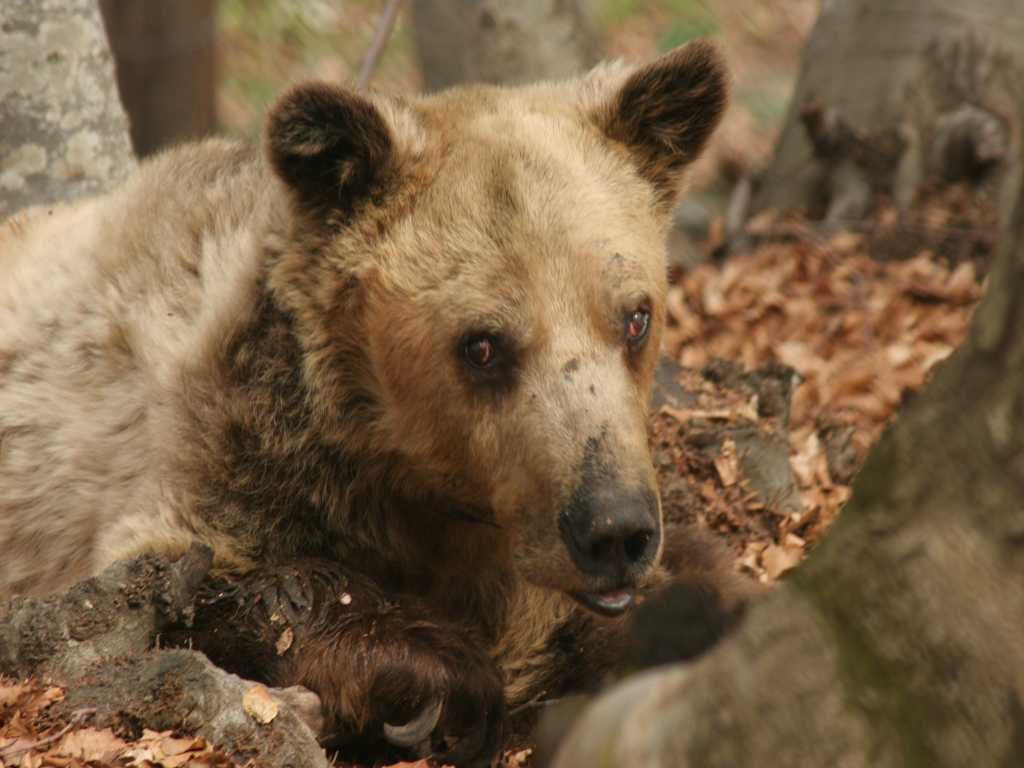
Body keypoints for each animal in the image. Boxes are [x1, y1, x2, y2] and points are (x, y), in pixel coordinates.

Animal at [0, 43, 737, 768]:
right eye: (483, 344)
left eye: (636, 317)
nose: (613, 531)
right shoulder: (211, 453)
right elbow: (199, 576)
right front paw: (440, 682)